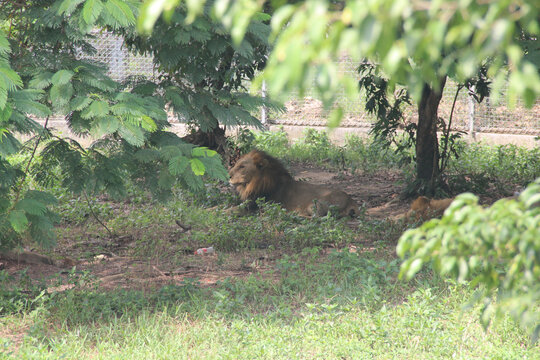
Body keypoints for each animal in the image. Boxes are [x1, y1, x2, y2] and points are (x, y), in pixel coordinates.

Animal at [228, 148, 358, 217]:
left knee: (316, 218)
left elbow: (229, 210)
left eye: (242, 167)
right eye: (236, 164)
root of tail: (351, 201)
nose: (228, 175)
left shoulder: (252, 208)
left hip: (315, 204)